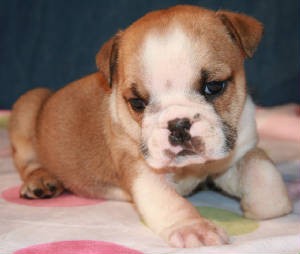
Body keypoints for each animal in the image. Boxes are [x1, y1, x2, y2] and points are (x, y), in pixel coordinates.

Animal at [9, 4, 290, 248]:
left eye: (214, 86)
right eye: (137, 102)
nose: (178, 124)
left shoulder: (238, 152)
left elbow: (267, 181)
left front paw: (257, 205)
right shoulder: (141, 170)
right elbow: (169, 201)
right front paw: (193, 228)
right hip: (28, 105)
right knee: (28, 160)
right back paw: (41, 181)